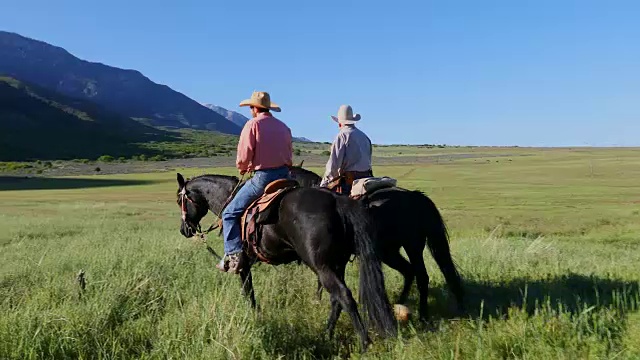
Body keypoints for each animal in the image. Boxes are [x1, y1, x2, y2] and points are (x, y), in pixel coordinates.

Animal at [175, 173, 396, 350]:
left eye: (179, 200)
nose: (184, 230)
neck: (227, 198)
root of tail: (336, 200)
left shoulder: (244, 263)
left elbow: (248, 292)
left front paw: (255, 316)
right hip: (337, 264)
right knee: (336, 300)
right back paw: (326, 335)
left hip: (321, 266)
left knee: (344, 296)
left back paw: (364, 343)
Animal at [288, 166, 462, 320]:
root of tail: (416, 197)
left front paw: (317, 301)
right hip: (391, 252)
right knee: (409, 271)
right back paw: (399, 304)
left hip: (411, 247)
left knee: (421, 276)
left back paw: (423, 316)